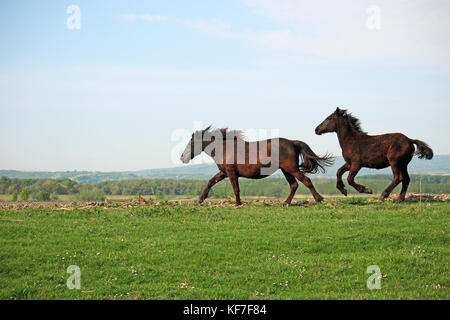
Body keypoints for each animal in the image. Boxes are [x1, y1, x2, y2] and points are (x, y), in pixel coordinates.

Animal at [180, 126, 334, 206]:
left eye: (191, 142)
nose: (182, 157)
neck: (224, 148)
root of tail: (292, 142)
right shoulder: (224, 172)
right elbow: (211, 182)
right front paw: (200, 199)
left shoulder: (231, 173)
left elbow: (236, 189)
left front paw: (238, 203)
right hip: (286, 170)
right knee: (294, 185)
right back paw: (285, 203)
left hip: (292, 169)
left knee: (306, 181)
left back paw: (319, 199)